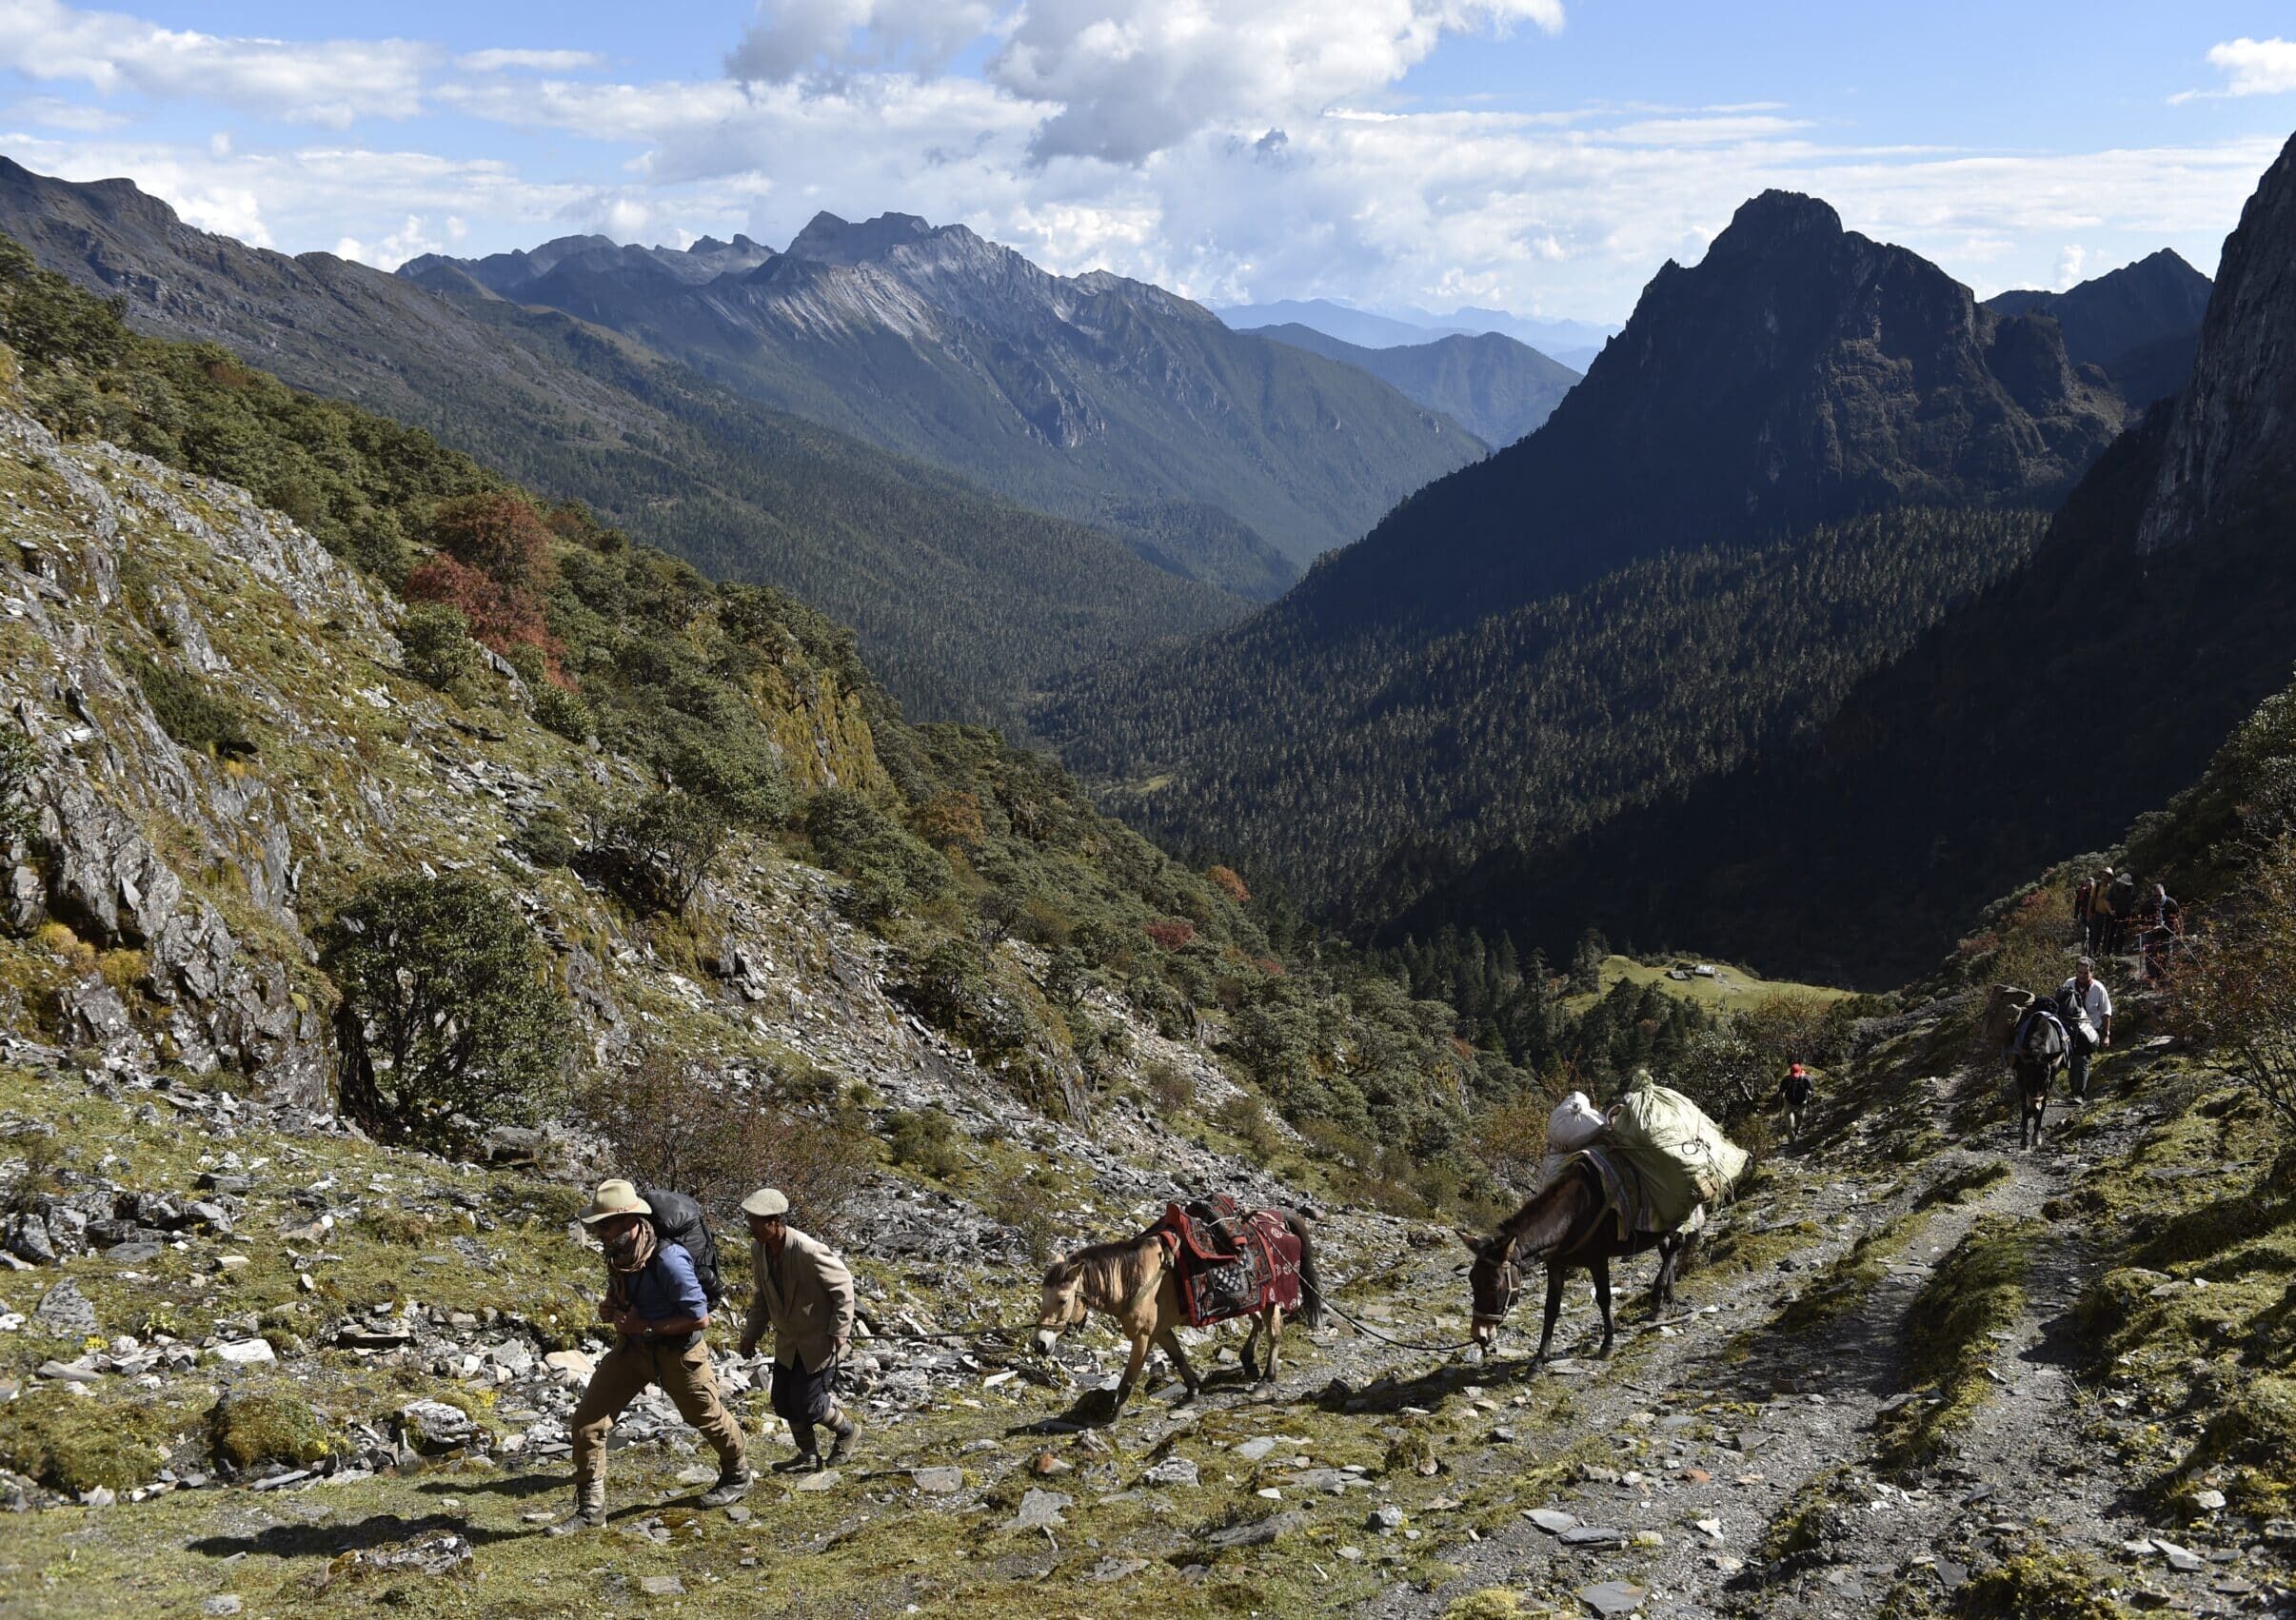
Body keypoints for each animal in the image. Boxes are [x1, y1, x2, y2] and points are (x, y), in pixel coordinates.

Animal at [1033, 1202, 1322, 1404]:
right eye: (1042, 1297)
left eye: (1062, 1300)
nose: (1040, 1344)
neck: (1139, 1277)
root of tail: (1278, 1220)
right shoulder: (1160, 1331)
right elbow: (1178, 1356)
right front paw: (1192, 1391)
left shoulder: (1143, 1335)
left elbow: (1128, 1379)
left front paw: (1113, 1418)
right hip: (1252, 1300)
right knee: (1259, 1324)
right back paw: (1248, 1361)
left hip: (1272, 1299)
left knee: (1274, 1333)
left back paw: (1266, 1378)